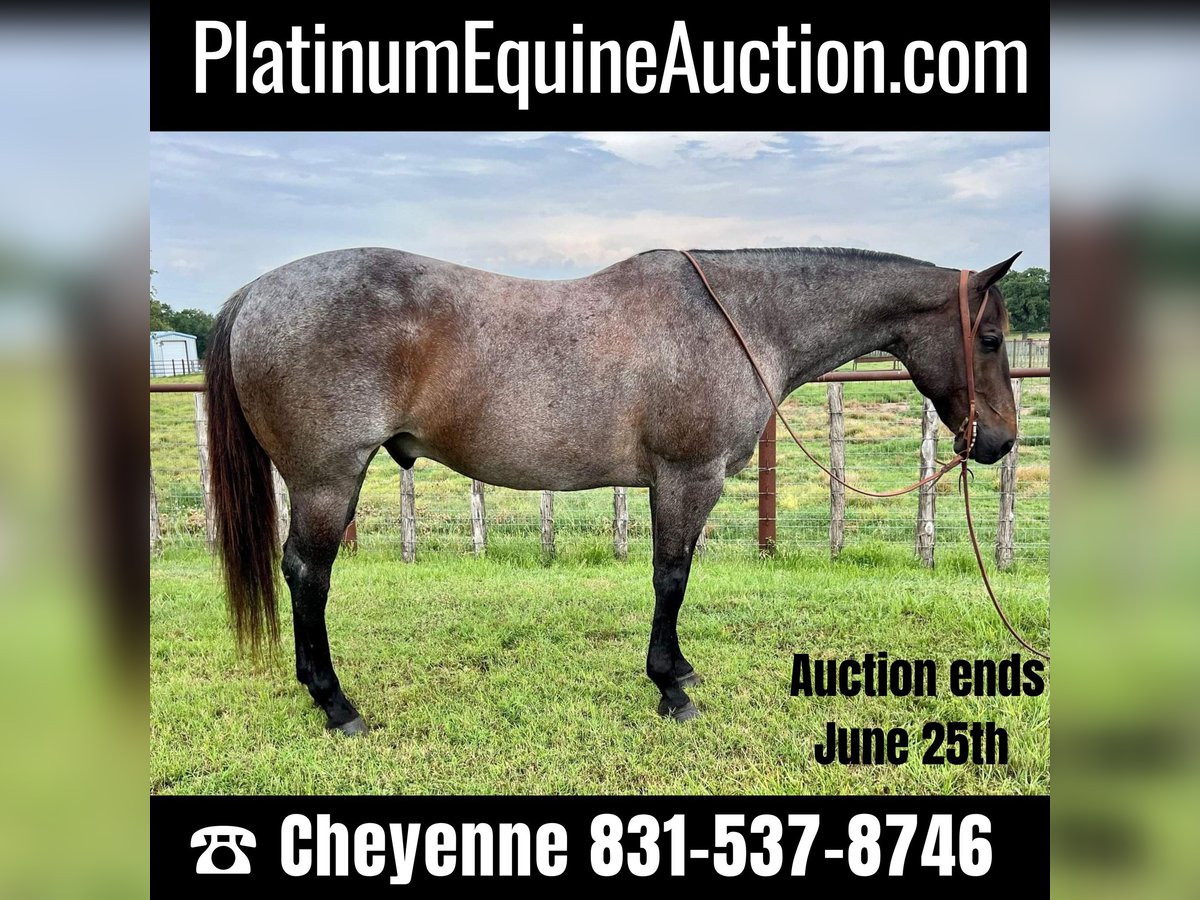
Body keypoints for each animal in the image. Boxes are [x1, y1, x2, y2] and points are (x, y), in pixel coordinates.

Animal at [205, 246, 1020, 734]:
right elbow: (671, 577)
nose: (1002, 441)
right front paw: (670, 689)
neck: (741, 318)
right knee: (307, 575)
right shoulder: (686, 478)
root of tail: (257, 291)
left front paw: (679, 669)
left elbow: (676, 578)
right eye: (990, 338)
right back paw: (335, 703)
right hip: (326, 479)